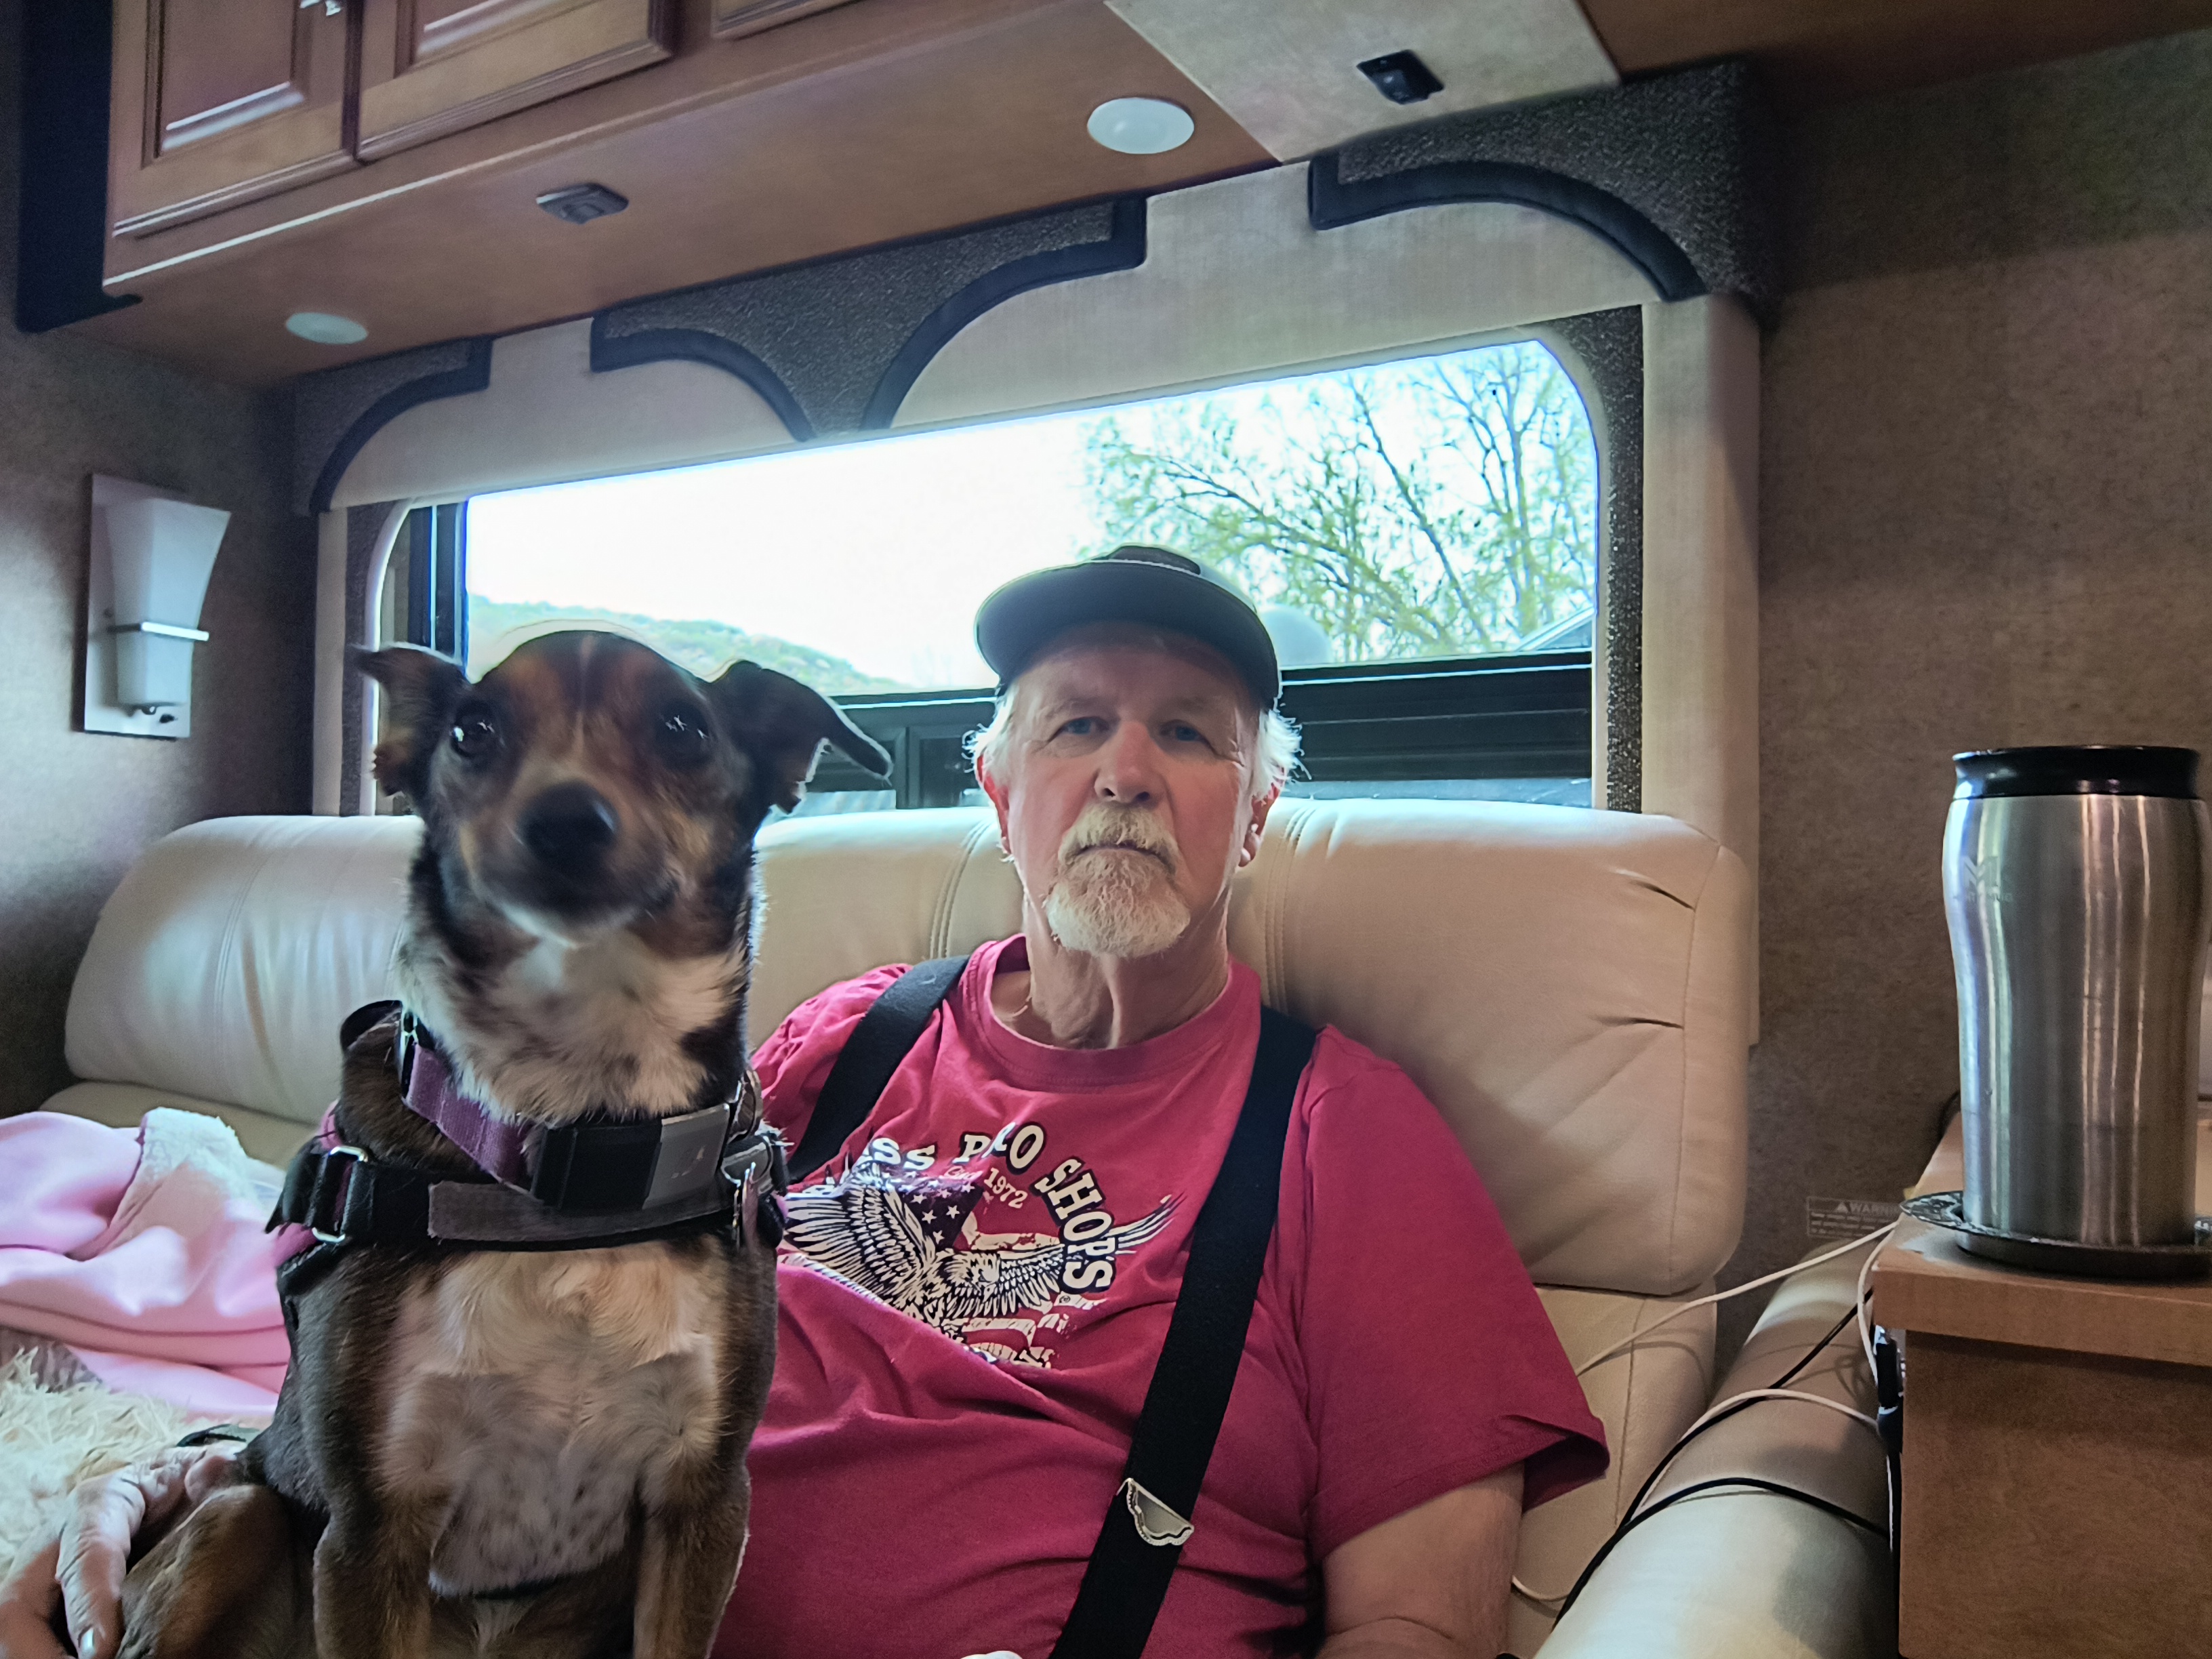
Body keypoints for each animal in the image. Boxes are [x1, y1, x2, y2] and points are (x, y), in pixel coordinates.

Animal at [114, 632, 889, 1659]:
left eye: (682, 728)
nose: (565, 820)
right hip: (239, 1518)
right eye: (472, 732)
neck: (578, 1143)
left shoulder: (703, 1499)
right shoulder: (370, 1531)